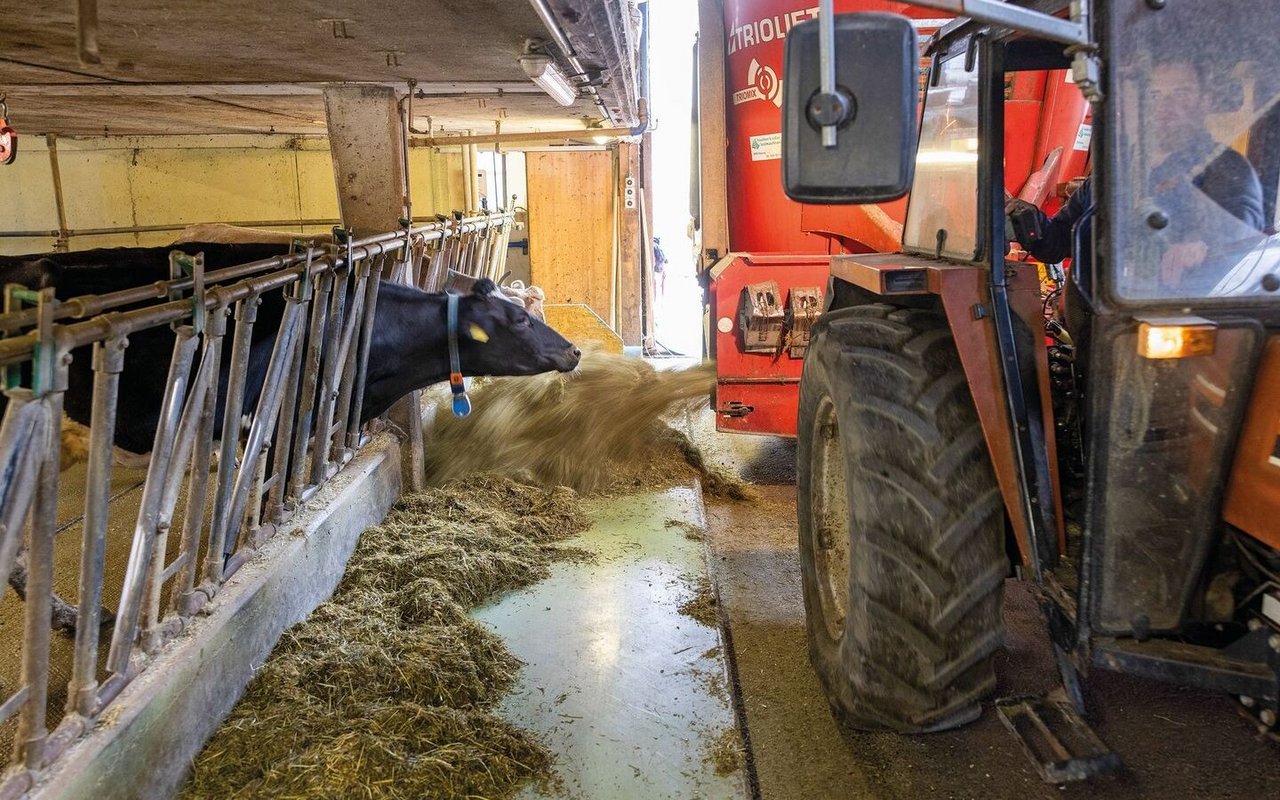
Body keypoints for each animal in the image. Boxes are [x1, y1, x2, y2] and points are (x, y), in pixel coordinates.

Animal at [1, 243, 581, 631]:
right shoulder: (271, 426)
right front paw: (226, 567)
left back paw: (71, 619)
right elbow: (257, 502)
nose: (574, 351)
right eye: (518, 320)